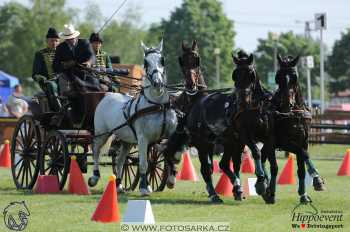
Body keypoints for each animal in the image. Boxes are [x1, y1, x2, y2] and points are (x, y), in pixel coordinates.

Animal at [89, 40, 180, 196]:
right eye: (146, 62)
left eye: (162, 60)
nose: (157, 83)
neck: (157, 105)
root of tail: (108, 95)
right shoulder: (143, 138)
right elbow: (143, 163)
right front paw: (144, 187)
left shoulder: (167, 137)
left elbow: (172, 155)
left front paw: (171, 179)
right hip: (102, 134)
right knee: (96, 151)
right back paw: (94, 177)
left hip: (126, 141)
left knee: (120, 160)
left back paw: (119, 185)